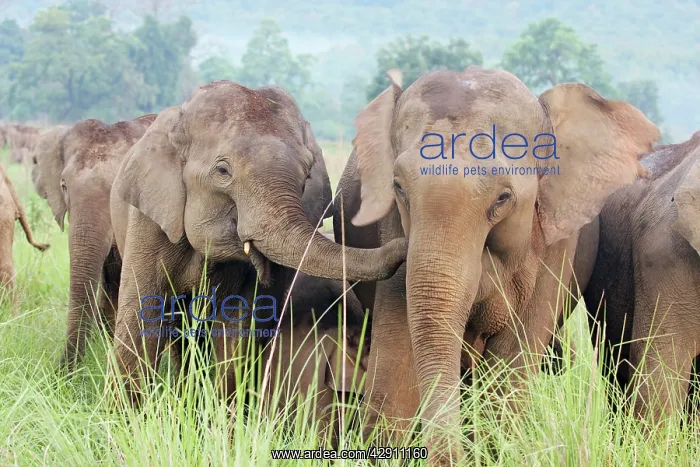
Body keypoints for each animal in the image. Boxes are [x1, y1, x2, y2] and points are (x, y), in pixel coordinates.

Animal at [109, 80, 408, 406]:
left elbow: (238, 324)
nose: (405, 245)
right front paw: (128, 414)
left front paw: (223, 413)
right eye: (222, 171)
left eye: (307, 174)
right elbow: (143, 312)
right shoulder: (149, 221)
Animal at [333, 66, 661, 463]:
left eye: (503, 198)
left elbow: (510, 367)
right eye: (398, 188)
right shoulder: (393, 226)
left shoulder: (555, 243)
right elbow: (396, 363)